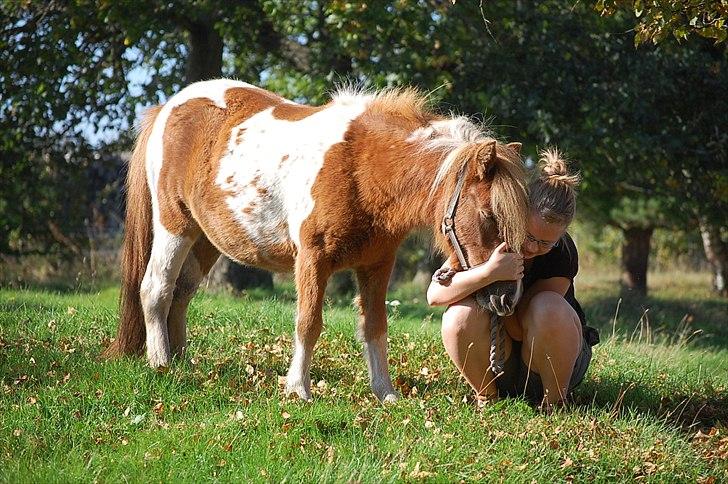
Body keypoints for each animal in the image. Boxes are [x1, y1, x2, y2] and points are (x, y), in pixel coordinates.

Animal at [102, 79, 528, 402]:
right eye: (490, 215)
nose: (507, 297)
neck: (360, 165)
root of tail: (168, 108)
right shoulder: (312, 259)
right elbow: (308, 322)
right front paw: (298, 390)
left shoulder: (376, 265)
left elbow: (375, 326)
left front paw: (386, 394)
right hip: (175, 227)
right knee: (156, 288)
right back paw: (161, 363)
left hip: (205, 239)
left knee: (182, 293)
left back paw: (182, 361)